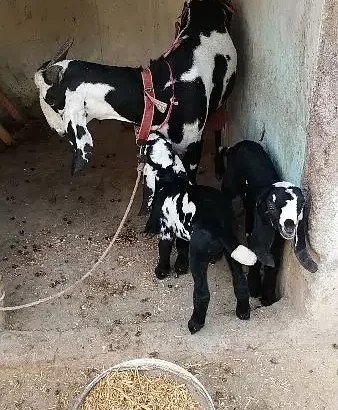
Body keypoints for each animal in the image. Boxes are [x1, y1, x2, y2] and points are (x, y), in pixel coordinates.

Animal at [142, 131, 256, 334]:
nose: (153, 131)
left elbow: (164, 251)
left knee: (202, 294)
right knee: (241, 282)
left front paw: (161, 270)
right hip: (233, 253)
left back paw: (195, 322)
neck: (170, 176)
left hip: (198, 258)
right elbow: (180, 246)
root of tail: (219, 225)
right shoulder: (181, 229)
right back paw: (243, 311)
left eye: (148, 145)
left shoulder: (166, 231)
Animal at [220, 139, 318, 306]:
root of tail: (240, 144)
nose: (289, 226)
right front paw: (253, 288)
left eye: (300, 207)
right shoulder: (254, 230)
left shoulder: (279, 240)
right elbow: (255, 252)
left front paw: (268, 297)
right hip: (230, 182)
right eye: (271, 206)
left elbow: (274, 263)